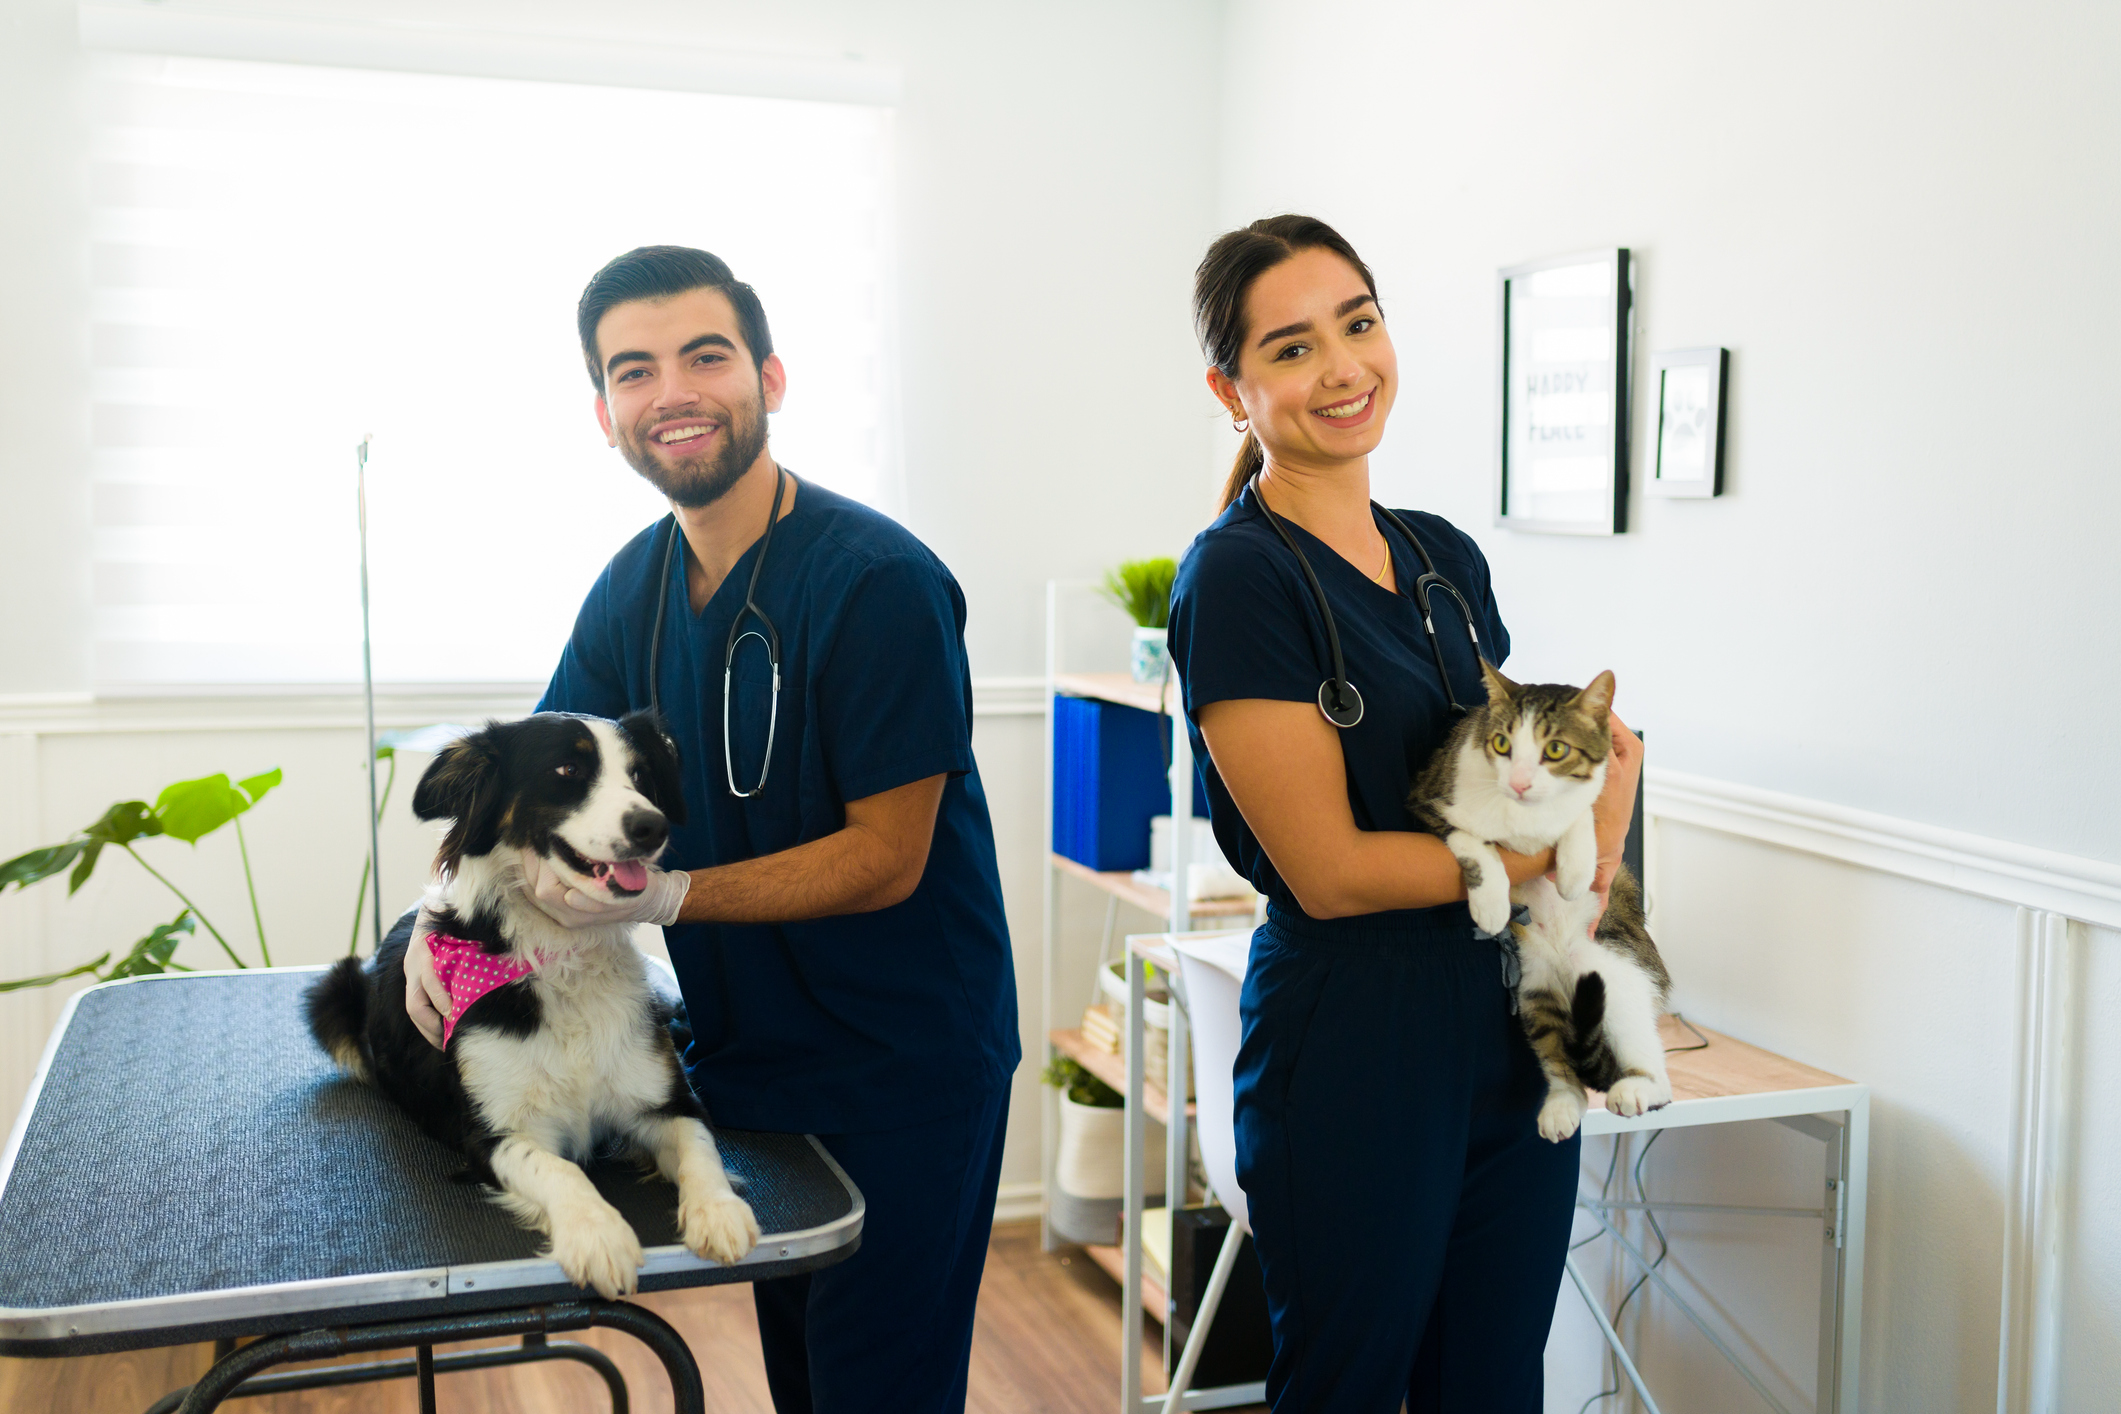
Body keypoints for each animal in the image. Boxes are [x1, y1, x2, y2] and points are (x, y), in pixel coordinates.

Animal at [303, 712, 759, 1297]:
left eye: (640, 775)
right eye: (567, 770)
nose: (652, 826)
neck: (560, 958)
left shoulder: (667, 1100)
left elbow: (701, 1145)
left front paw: (718, 1211)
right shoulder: (492, 1134)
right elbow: (561, 1170)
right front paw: (598, 1235)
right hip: (334, 993)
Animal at [1408, 661, 1671, 1136]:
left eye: (1556, 749)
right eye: (1502, 744)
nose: (1520, 782)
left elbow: (1584, 811)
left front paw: (1576, 867)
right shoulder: (1426, 800)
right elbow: (1472, 839)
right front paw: (1491, 901)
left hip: (1614, 968)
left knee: (1652, 1066)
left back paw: (1638, 1086)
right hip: (1534, 985)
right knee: (1558, 1052)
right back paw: (1563, 1104)